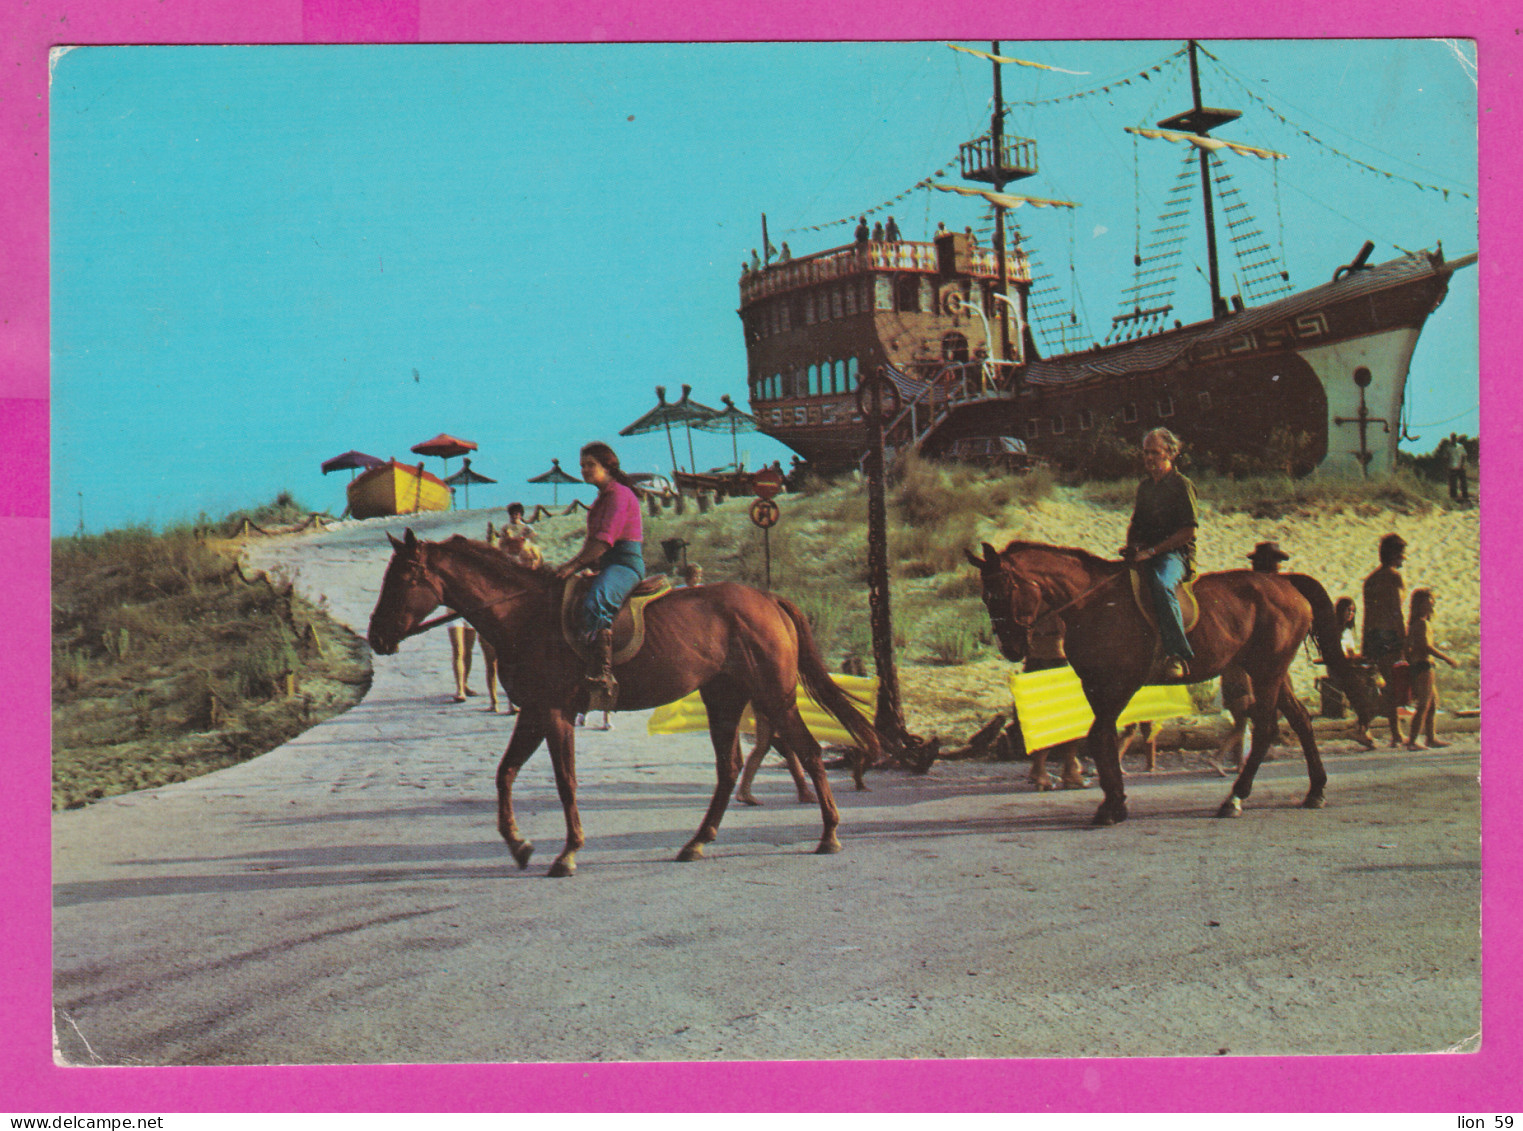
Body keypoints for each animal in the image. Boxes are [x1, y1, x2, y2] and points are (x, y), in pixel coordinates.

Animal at [363, 529, 883, 876]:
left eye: (404, 577)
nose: (377, 637)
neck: (525, 616)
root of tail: (768, 599)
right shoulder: (534, 713)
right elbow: (505, 774)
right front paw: (519, 845)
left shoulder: (554, 714)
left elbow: (565, 783)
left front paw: (568, 852)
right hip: (724, 697)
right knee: (730, 768)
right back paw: (697, 842)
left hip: (774, 695)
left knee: (808, 753)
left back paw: (829, 834)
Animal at [968, 544, 1388, 828]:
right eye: (985, 597)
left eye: (1002, 592)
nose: (1011, 647)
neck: (1094, 604)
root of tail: (1283, 582)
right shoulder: (1096, 686)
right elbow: (1100, 738)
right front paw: (1113, 799)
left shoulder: (1120, 683)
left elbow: (1100, 736)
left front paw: (1113, 805)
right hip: (1270, 669)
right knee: (1300, 720)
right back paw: (1315, 790)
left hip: (1266, 671)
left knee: (1268, 727)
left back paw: (1235, 799)